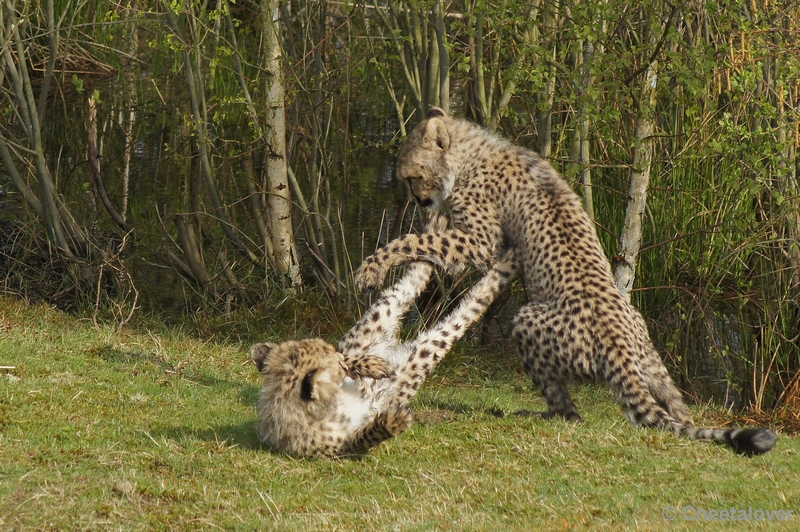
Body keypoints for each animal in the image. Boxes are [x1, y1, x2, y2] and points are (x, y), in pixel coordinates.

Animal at [250, 249, 520, 458]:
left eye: (330, 353)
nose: (341, 362)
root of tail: (394, 348)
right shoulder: (342, 449)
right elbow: (364, 437)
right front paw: (393, 421)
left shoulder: (347, 349)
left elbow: (351, 357)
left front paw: (368, 365)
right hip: (424, 353)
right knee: (468, 307)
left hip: (379, 318)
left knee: (412, 279)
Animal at [356, 109, 776, 458]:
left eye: (412, 176)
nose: (420, 201)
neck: (469, 155)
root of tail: (619, 346)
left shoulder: (480, 241)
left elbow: (416, 241)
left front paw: (373, 267)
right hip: (651, 362)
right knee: (675, 408)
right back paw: (684, 421)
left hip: (526, 320)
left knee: (569, 411)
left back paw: (539, 415)